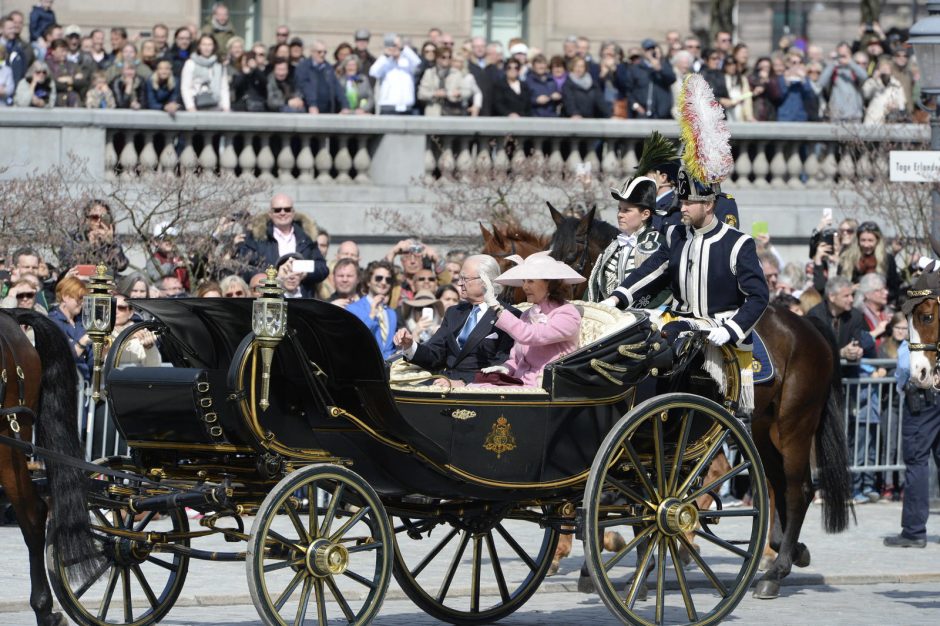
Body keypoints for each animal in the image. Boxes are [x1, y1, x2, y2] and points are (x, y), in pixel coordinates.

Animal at [492, 207, 852, 596]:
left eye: (570, 257)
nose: (508, 310)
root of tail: (809, 327)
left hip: (793, 425)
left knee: (798, 490)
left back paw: (775, 569)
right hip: (762, 427)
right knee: (777, 485)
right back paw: (784, 551)